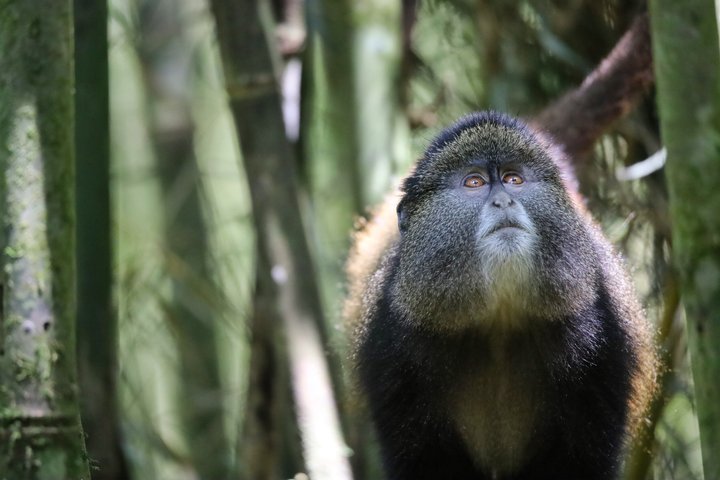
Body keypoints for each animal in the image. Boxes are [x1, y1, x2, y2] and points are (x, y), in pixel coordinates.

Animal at [344, 111, 656, 480]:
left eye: (513, 179)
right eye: (474, 183)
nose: (504, 200)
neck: (499, 319)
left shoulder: (601, 342)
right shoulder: (394, 350)